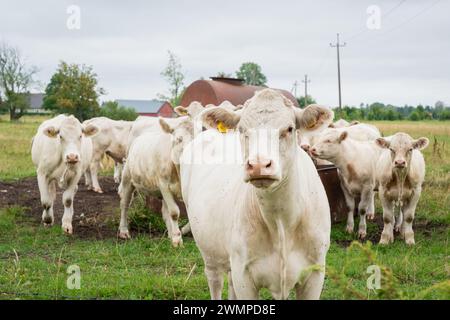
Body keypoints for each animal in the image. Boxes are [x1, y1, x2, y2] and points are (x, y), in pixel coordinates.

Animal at [118, 116, 193, 246]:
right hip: (127, 178)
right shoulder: (163, 184)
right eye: (179, 139)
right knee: (124, 204)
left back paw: (170, 234)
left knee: (165, 211)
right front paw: (177, 239)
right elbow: (174, 212)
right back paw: (123, 231)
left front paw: (176, 235)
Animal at [181, 89, 332, 300]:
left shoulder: (315, 273)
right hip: (209, 251)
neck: (280, 221)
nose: (259, 165)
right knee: (215, 281)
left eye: (289, 128)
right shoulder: (244, 276)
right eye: (242, 129)